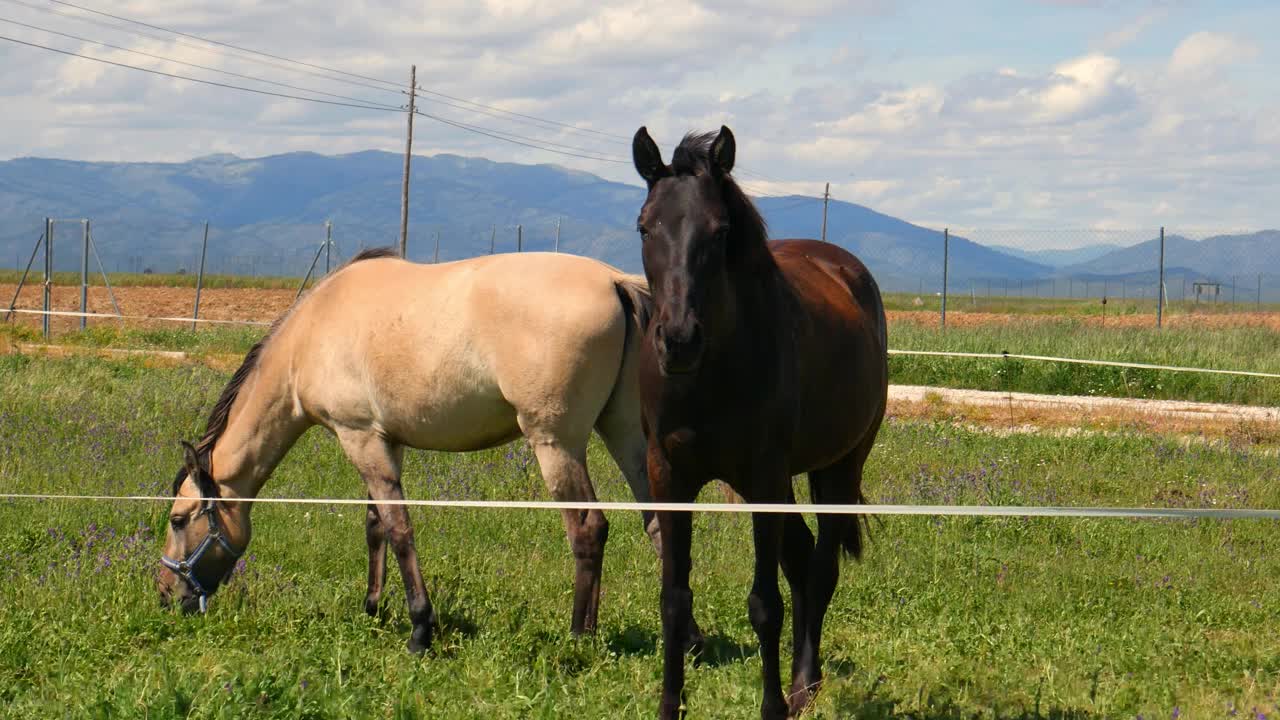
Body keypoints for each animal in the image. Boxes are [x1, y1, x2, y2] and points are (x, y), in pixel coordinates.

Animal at [158, 245, 706, 650]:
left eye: (179, 520)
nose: (166, 594)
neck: (312, 334)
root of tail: (615, 282)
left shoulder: (360, 437)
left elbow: (400, 530)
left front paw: (420, 628)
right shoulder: (386, 442)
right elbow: (375, 526)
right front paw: (373, 609)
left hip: (556, 443)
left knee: (589, 529)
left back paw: (579, 638)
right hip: (625, 434)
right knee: (660, 523)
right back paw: (691, 640)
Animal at [632, 126, 890, 712]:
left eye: (720, 229)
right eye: (645, 225)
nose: (678, 340)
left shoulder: (765, 476)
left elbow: (764, 605)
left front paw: (772, 706)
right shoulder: (669, 476)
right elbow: (674, 600)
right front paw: (669, 706)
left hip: (836, 468)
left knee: (820, 569)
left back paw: (803, 687)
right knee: (800, 558)